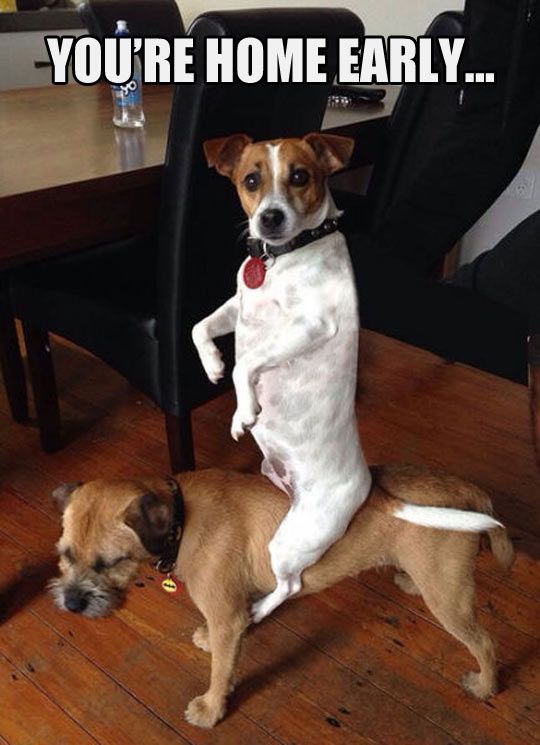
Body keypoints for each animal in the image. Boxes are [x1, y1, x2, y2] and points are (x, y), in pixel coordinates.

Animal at [50, 464, 516, 728]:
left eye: (110, 563)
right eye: (65, 555)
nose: (71, 605)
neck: (182, 518)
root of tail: (468, 491)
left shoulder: (228, 618)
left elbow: (221, 671)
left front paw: (211, 709)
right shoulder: (233, 610)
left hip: (450, 599)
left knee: (486, 643)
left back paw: (485, 686)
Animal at [191, 134, 502, 620]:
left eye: (300, 176)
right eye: (251, 181)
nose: (269, 218)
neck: (282, 259)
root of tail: (371, 488)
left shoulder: (310, 327)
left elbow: (248, 363)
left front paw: (244, 409)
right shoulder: (236, 308)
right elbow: (199, 327)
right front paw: (212, 364)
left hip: (292, 541)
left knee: (292, 584)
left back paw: (259, 610)